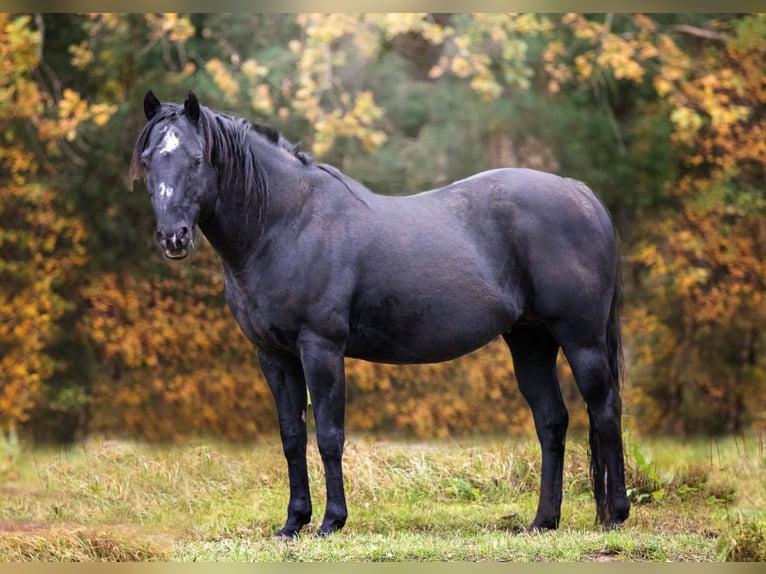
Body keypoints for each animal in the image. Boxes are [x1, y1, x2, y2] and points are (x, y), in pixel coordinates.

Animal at [130, 90, 630, 538]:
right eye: (150, 160)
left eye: (196, 159)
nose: (173, 237)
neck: (286, 222)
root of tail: (580, 194)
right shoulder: (273, 355)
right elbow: (291, 436)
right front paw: (293, 523)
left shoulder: (321, 348)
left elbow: (329, 434)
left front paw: (331, 522)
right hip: (530, 339)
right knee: (552, 421)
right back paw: (543, 521)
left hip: (580, 339)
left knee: (604, 410)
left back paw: (615, 516)